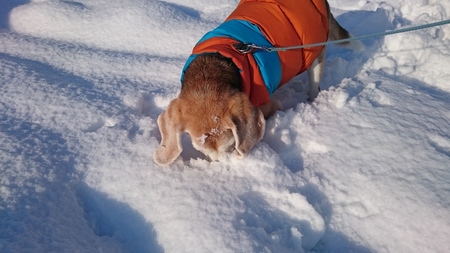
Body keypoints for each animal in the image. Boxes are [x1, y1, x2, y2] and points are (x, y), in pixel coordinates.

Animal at [153, 0, 360, 166]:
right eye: (202, 150)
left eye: (230, 146)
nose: (221, 166)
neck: (209, 73)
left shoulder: (268, 104)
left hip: (314, 55)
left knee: (314, 85)